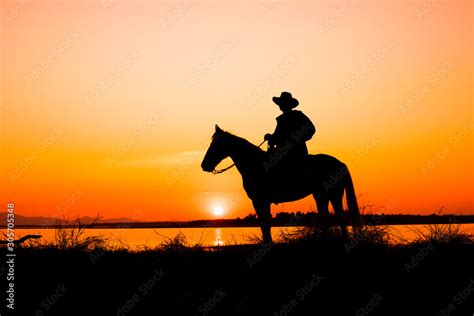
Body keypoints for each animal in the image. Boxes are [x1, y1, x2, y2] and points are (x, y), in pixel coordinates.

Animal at [200, 124, 360, 243]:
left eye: (216, 144)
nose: (204, 165)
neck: (256, 164)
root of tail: (340, 163)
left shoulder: (259, 200)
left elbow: (264, 224)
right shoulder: (262, 201)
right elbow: (265, 224)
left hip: (334, 195)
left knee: (341, 217)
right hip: (320, 195)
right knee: (325, 217)